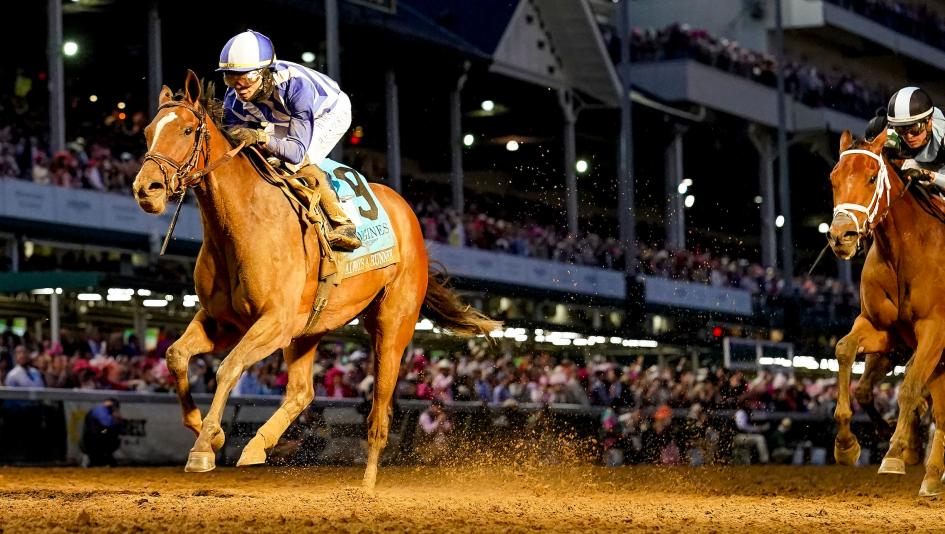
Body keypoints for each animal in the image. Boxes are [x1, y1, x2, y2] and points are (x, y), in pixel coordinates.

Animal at [131, 70, 501, 490]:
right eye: (148, 132)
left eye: (188, 129)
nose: (146, 189)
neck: (242, 222)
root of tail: (409, 216)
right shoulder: (224, 321)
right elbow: (176, 355)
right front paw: (210, 432)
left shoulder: (274, 322)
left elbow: (228, 368)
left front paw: (205, 445)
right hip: (309, 328)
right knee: (302, 391)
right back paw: (257, 445)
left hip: (392, 324)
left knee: (380, 408)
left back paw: (367, 484)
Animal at [828, 129, 945, 496]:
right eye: (833, 178)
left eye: (870, 177)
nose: (841, 236)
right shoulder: (881, 328)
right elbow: (845, 350)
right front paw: (846, 445)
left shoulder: (935, 330)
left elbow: (909, 386)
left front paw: (894, 453)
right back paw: (932, 473)